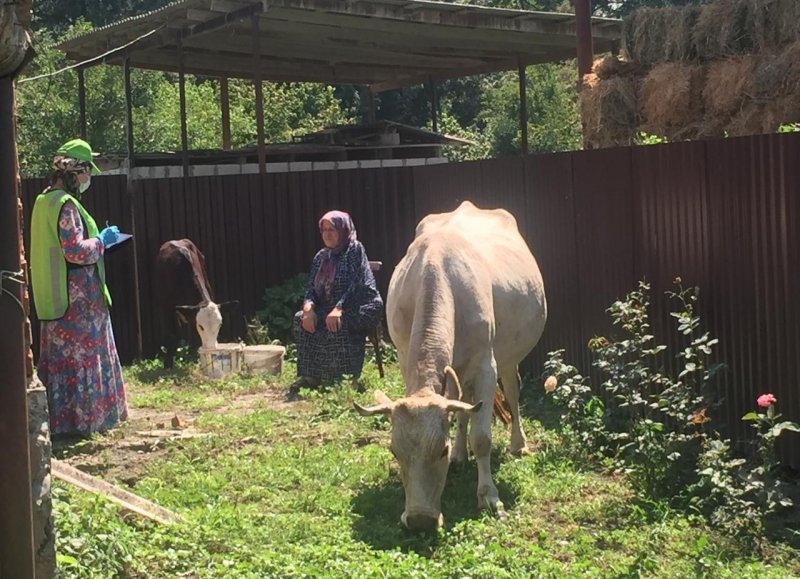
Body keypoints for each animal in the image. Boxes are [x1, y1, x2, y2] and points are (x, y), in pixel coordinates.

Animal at [360, 202, 548, 532]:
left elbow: (482, 437)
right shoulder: (405, 359)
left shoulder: (486, 365)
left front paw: (489, 496)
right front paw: (460, 454)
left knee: (512, 391)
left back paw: (517, 444)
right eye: (394, 450)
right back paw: (463, 454)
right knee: (463, 405)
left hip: (509, 356)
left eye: (441, 450)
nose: (420, 520)